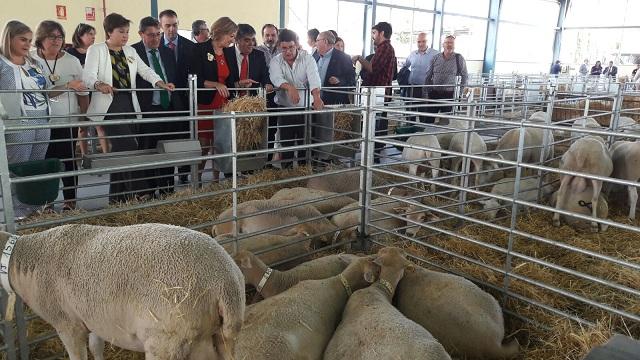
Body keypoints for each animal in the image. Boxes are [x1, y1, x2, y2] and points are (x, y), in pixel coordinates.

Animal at [0, 224, 245, 358]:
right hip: (218, 337)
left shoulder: (67, 323)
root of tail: (226, 283)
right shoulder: (94, 316)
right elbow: (96, 347)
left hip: (168, 339)